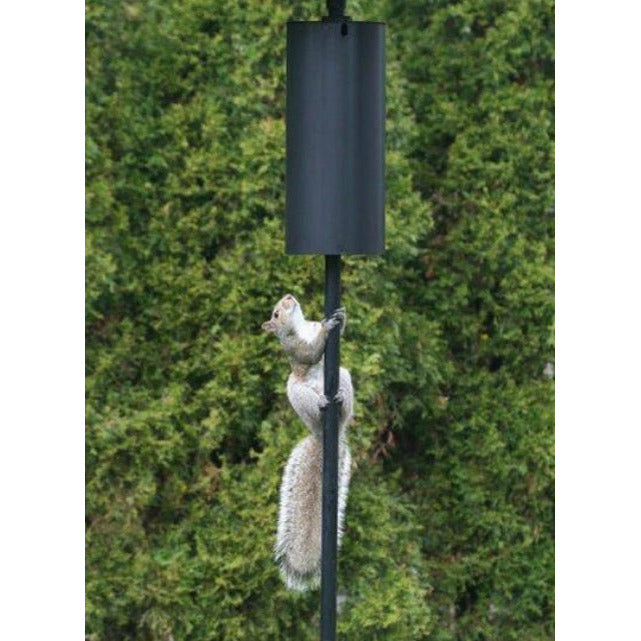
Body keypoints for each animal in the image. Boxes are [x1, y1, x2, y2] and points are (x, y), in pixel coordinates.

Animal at [262, 294, 354, 591]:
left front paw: (341, 318)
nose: (289, 296)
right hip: (296, 391)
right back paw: (322, 404)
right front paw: (327, 329)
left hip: (345, 375)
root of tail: (321, 432)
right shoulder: (295, 348)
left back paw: (340, 399)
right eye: (276, 314)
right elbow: (311, 353)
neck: (302, 326)